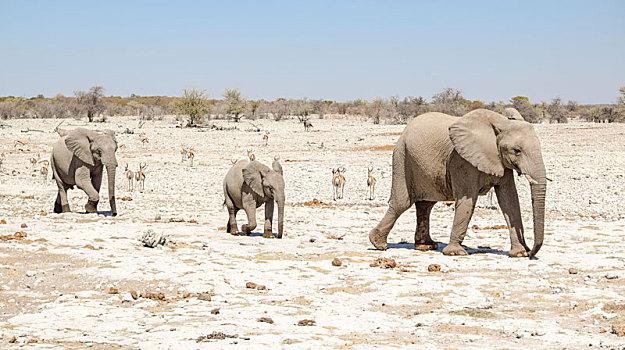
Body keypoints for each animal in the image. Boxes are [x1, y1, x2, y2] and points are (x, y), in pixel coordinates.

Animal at [370, 108, 544, 258]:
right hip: (402, 158)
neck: (501, 122)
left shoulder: (501, 163)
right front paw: (455, 252)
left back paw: (425, 246)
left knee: (426, 205)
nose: (531, 253)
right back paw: (378, 243)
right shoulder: (461, 160)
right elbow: (467, 201)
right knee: (402, 203)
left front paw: (519, 254)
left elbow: (510, 201)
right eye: (517, 150)